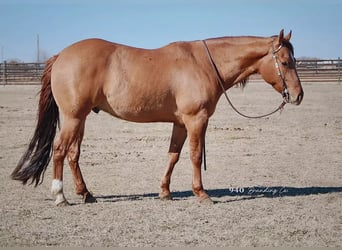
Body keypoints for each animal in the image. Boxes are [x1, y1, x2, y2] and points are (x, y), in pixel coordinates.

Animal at [12, 29, 304, 205]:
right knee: (60, 151)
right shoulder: (196, 120)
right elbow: (195, 156)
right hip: (73, 117)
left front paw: (165, 191)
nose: (298, 95)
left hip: (80, 119)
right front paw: (201, 193)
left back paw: (86, 193)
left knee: (73, 154)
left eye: (294, 59)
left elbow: (173, 155)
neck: (204, 64)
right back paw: (60, 196)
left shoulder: (180, 123)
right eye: (285, 62)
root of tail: (62, 55)